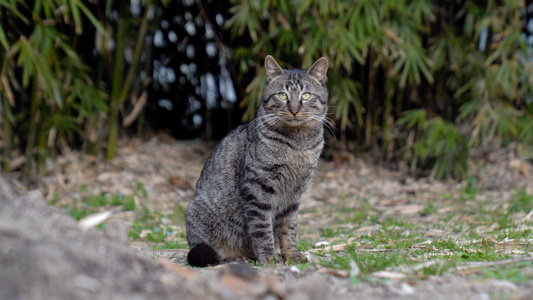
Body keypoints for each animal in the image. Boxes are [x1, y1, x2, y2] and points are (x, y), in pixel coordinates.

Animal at [187, 55, 328, 266]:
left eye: (306, 96)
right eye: (282, 96)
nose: (294, 110)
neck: (298, 144)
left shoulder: (294, 195)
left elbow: (289, 229)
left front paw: (291, 254)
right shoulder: (257, 188)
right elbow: (262, 229)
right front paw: (268, 257)